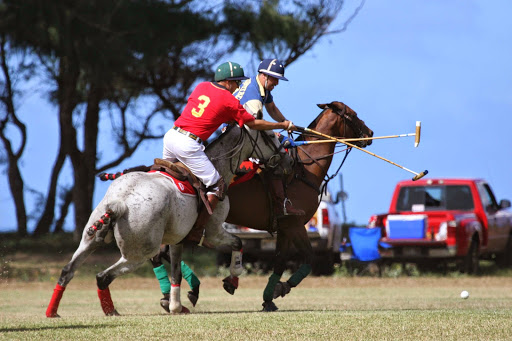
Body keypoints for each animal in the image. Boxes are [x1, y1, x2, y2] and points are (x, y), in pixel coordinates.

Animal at [45, 122, 290, 316]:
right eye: (270, 136)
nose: (286, 158)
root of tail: (120, 202)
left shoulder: (177, 239)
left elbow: (176, 273)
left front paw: (176, 305)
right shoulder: (212, 232)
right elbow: (238, 243)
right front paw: (232, 280)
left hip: (91, 237)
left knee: (68, 270)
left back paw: (53, 312)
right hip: (139, 252)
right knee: (102, 276)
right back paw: (110, 311)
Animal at [167, 101, 372, 310]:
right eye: (353, 115)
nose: (369, 133)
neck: (303, 169)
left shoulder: (284, 227)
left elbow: (280, 261)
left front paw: (269, 297)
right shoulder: (295, 224)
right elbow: (309, 257)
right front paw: (280, 288)